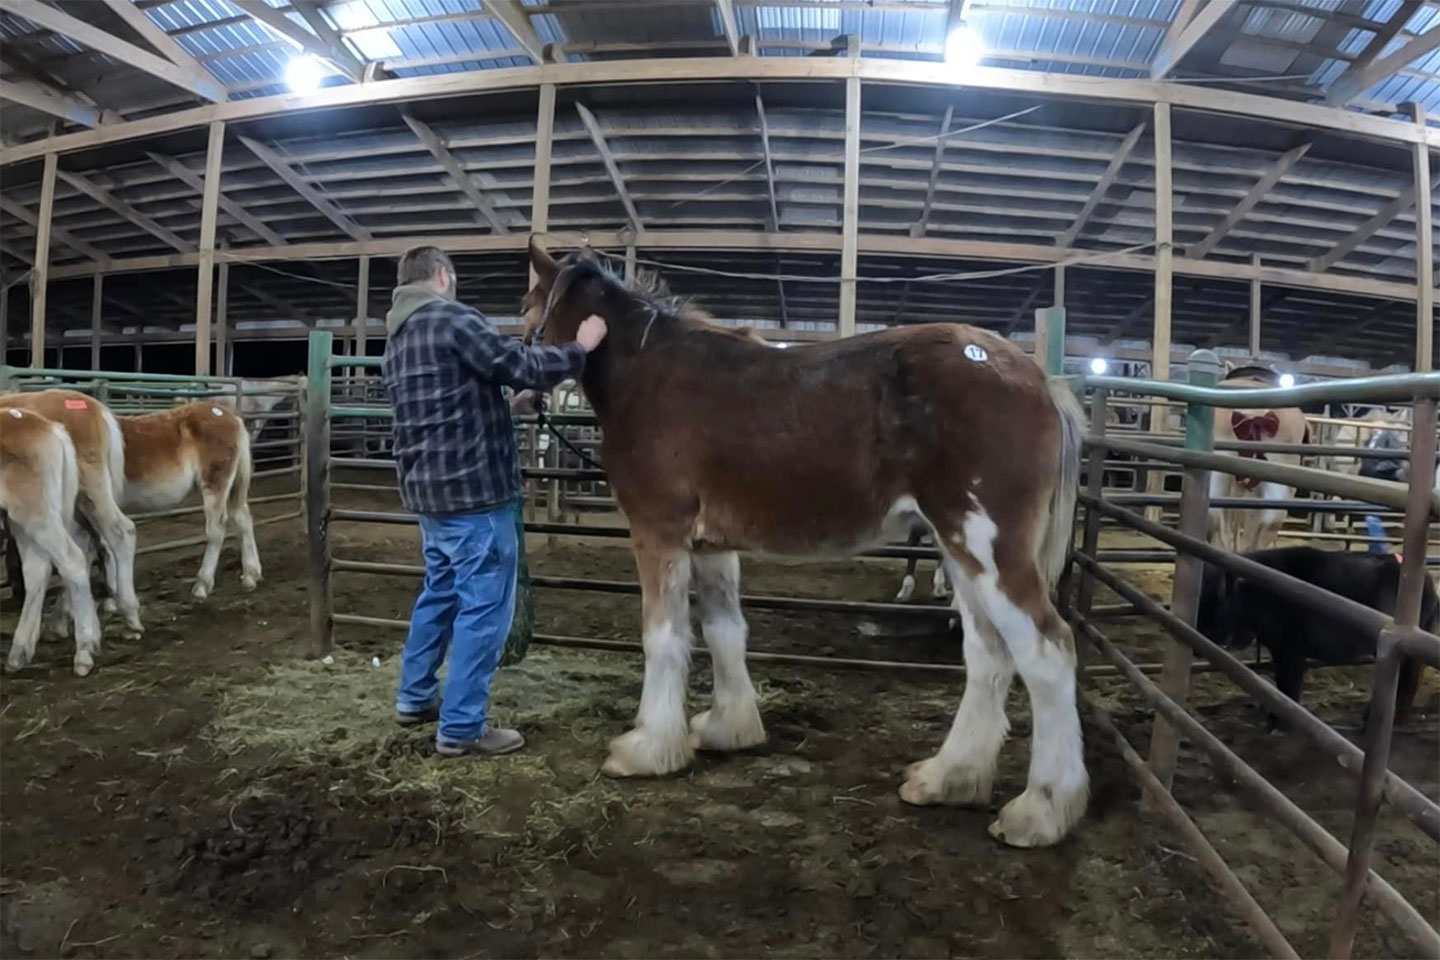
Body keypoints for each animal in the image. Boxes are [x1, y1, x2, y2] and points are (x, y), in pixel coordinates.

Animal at [0, 406, 103, 676]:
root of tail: (50, 427)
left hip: (35, 514)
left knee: (72, 560)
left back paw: (84, 652)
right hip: (23, 522)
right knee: (37, 571)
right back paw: (18, 654)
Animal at [524, 240, 1087, 847]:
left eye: (527, 306)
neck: (648, 372)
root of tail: (1037, 378)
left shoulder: (660, 533)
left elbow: (664, 638)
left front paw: (647, 749)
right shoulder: (711, 546)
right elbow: (724, 631)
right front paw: (727, 728)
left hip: (991, 549)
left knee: (1047, 652)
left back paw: (1040, 811)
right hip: (959, 550)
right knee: (988, 654)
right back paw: (949, 778)